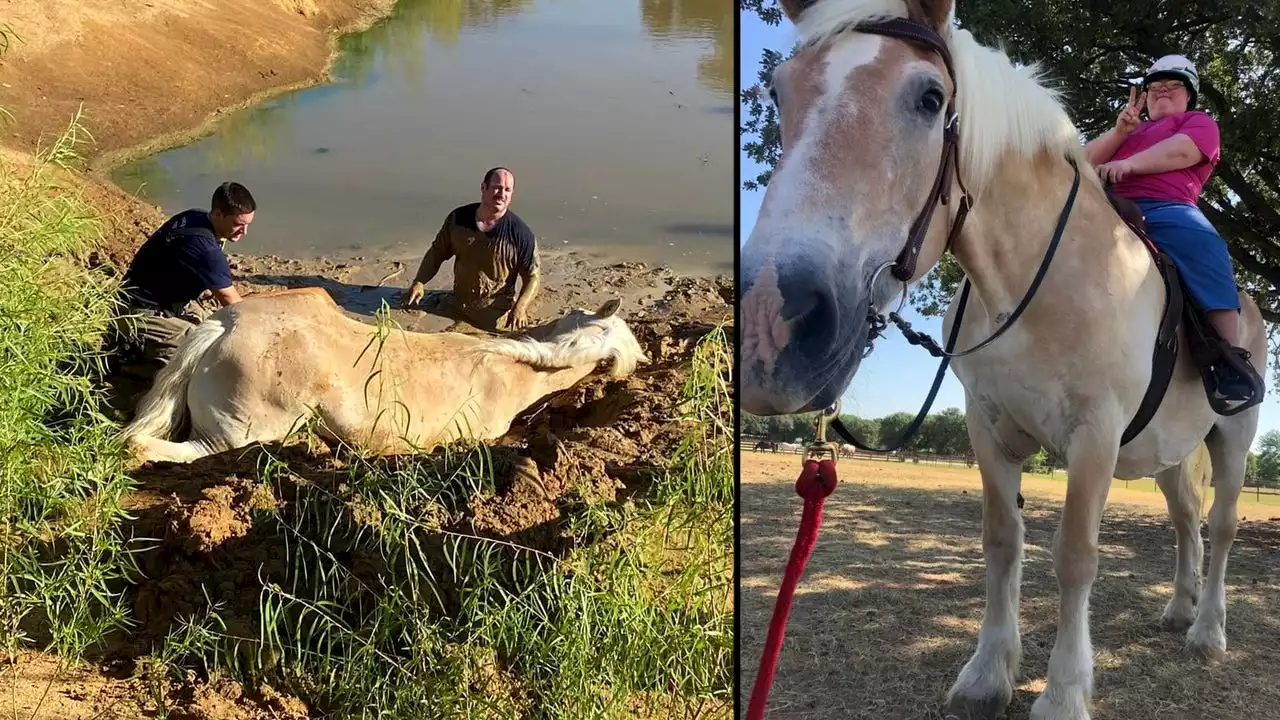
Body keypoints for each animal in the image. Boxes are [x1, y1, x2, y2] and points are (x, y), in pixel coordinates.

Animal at [737, 1, 1264, 717]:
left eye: (931, 99)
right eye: (779, 92)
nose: (770, 326)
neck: (1044, 276)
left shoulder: (1094, 435)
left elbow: (1076, 556)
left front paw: (1064, 693)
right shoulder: (988, 429)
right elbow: (1001, 541)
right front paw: (988, 675)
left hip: (1232, 434)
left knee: (1223, 522)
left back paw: (1208, 631)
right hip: (1168, 454)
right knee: (1186, 520)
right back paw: (1181, 610)